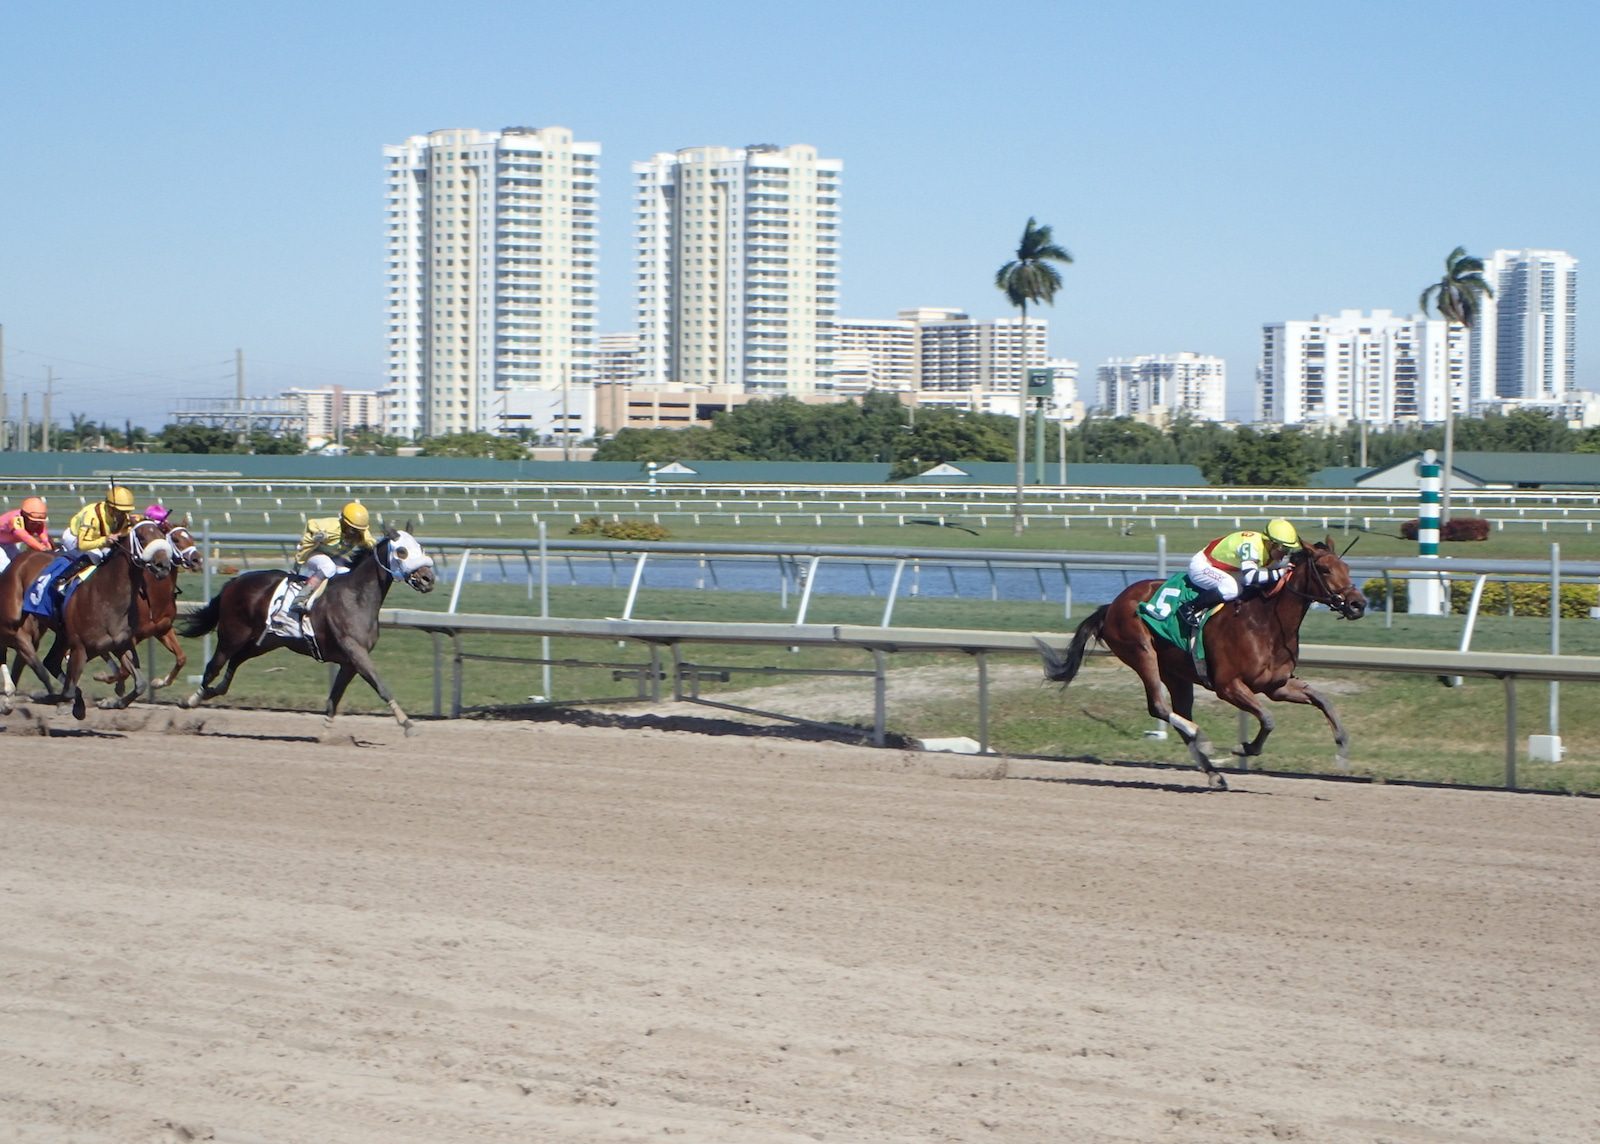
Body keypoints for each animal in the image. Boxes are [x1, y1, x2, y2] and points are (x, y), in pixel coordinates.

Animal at [180, 524, 438, 732]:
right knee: (213, 666)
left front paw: (326, 734)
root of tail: (234, 582)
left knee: (233, 663)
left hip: (263, 641)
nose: (428, 578)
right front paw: (406, 722)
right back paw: (189, 701)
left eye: (421, 548)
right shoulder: (356, 652)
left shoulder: (349, 662)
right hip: (232, 634)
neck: (356, 597)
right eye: (401, 551)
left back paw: (209, 693)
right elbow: (380, 685)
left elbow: (335, 698)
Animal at [1036, 540, 1363, 793]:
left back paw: (1214, 773)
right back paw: (1202, 739)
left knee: (1178, 714)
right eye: (1325, 569)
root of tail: (1111, 605)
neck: (1266, 621)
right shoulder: (1228, 686)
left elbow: (1321, 699)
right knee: (1159, 707)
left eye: (1348, 569)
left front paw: (1342, 748)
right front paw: (1245, 748)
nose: (1358, 604)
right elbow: (1268, 719)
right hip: (1141, 652)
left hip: (1176, 674)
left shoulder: (1276, 685)